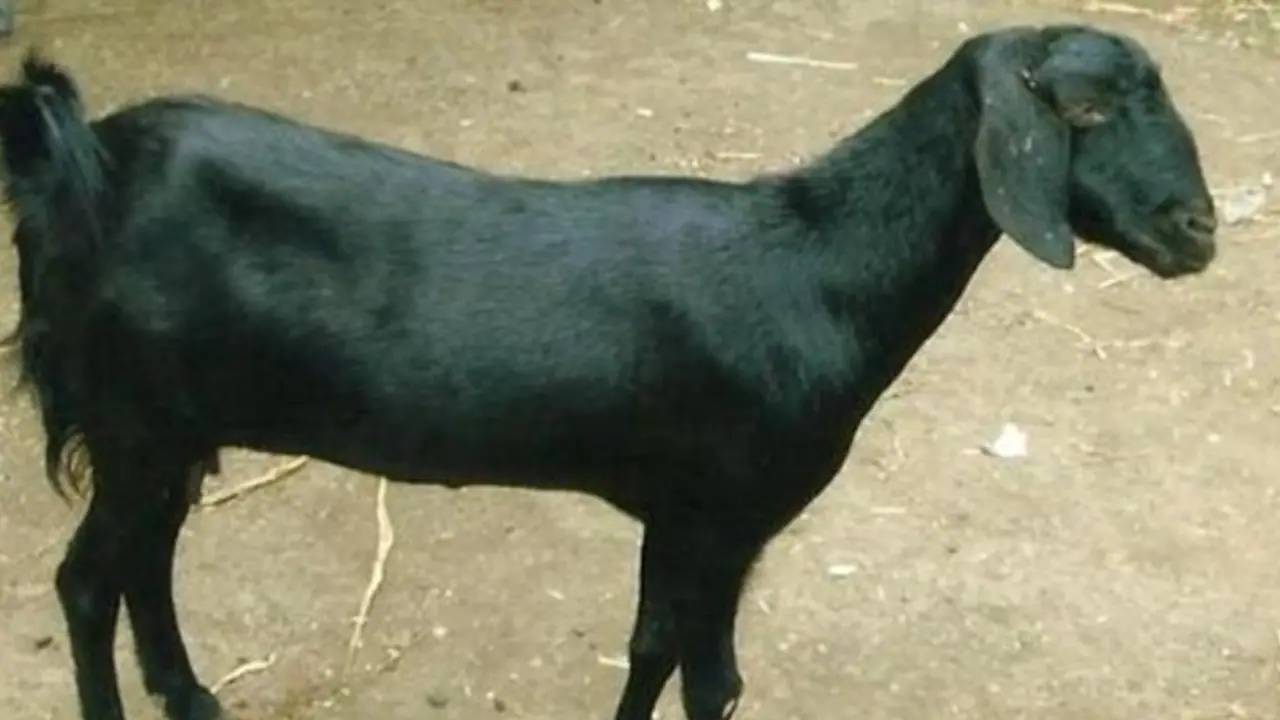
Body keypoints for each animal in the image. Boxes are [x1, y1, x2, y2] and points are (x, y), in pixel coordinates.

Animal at [0, 23, 1217, 720]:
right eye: (1086, 107)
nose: (1196, 231)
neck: (817, 265)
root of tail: (85, 164)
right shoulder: (724, 514)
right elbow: (706, 676)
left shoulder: (682, 514)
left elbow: (660, 655)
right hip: (135, 421)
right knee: (87, 582)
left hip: (165, 431)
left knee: (143, 566)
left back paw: (193, 698)